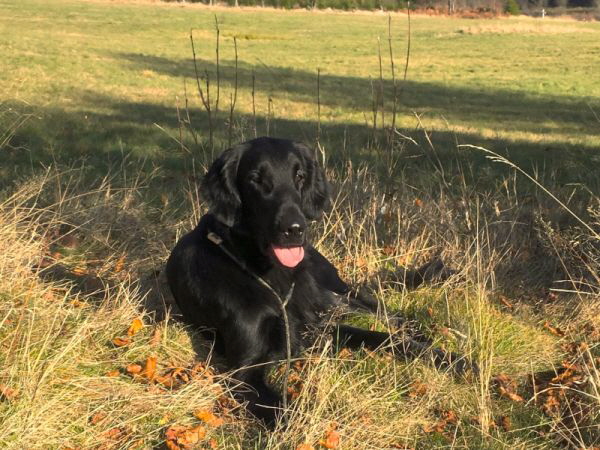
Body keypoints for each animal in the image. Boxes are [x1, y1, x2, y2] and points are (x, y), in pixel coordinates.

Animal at [166, 137, 476, 426]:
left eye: (300, 176)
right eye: (255, 178)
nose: (294, 229)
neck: (265, 275)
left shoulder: (317, 327)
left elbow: (385, 338)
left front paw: (452, 360)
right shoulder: (245, 370)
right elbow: (284, 411)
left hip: (327, 293)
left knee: (377, 307)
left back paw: (417, 329)